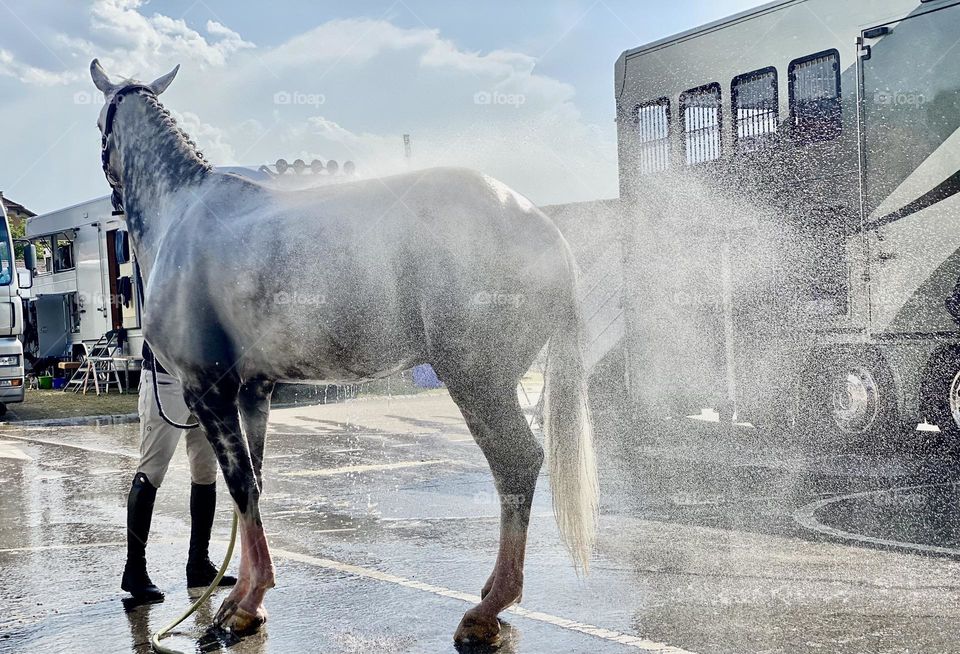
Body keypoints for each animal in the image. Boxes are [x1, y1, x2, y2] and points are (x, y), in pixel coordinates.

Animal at [90, 59, 597, 645]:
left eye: (101, 123)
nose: (112, 199)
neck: (182, 209)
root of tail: (547, 230)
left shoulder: (207, 391)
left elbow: (240, 484)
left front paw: (243, 605)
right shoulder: (253, 393)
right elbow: (253, 486)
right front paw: (244, 599)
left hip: (478, 382)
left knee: (515, 465)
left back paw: (488, 608)